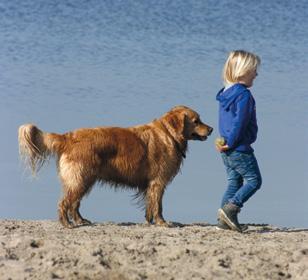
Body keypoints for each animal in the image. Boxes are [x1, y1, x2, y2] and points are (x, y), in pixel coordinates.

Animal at [18, 105, 213, 228]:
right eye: (196, 121)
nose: (211, 129)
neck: (169, 135)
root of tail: (68, 137)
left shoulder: (152, 184)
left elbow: (151, 205)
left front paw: (149, 221)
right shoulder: (158, 182)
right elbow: (158, 205)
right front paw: (162, 222)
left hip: (85, 180)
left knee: (75, 204)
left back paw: (80, 221)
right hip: (80, 179)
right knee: (64, 203)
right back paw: (66, 224)